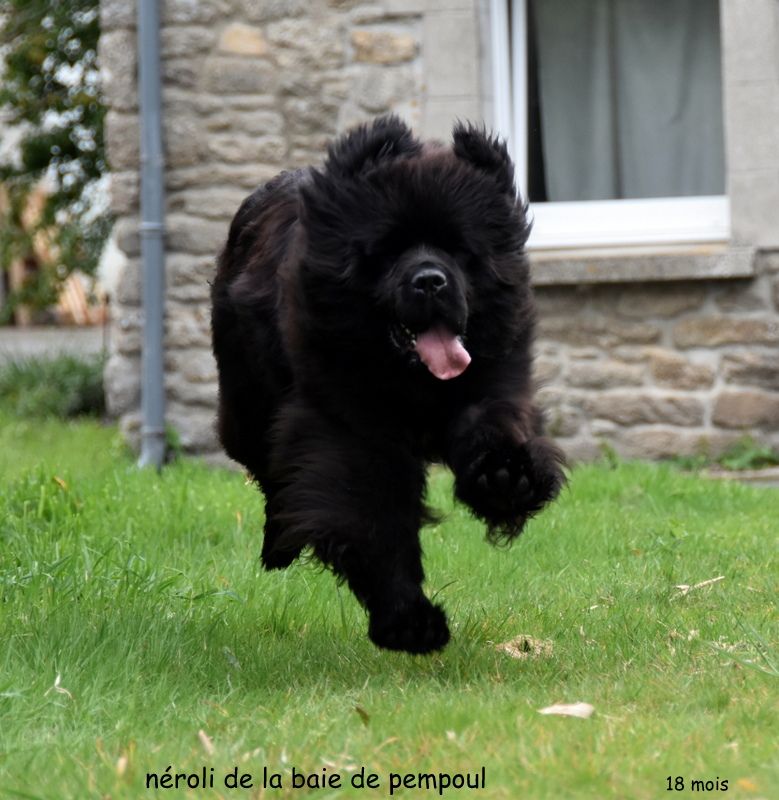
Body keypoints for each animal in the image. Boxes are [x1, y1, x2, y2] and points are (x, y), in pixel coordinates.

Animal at [210, 115, 564, 652]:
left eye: (461, 250)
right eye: (389, 250)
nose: (431, 280)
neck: (412, 378)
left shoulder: (495, 381)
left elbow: (495, 425)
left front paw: (507, 477)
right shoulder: (351, 427)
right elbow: (371, 514)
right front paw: (410, 622)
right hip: (248, 404)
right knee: (269, 468)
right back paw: (278, 547)